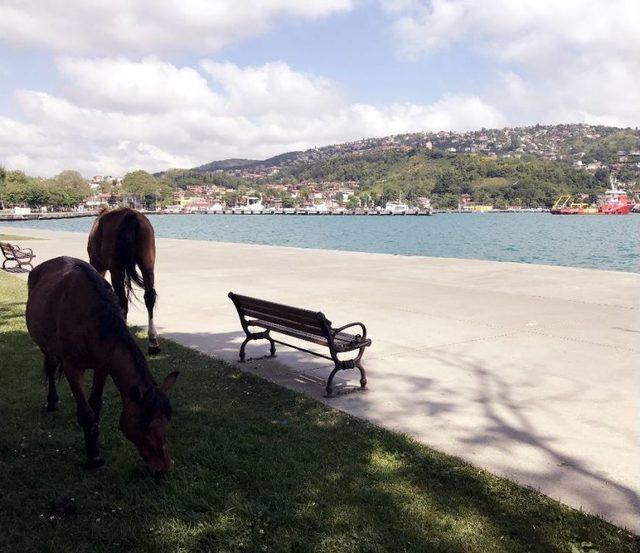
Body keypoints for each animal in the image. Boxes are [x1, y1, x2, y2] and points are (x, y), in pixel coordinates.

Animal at [26, 256, 179, 472]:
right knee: (50, 365)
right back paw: (52, 401)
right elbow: (85, 413)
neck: (90, 318)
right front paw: (94, 456)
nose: (164, 468)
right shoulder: (72, 368)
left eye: (167, 421)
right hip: (46, 346)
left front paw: (94, 440)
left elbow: (96, 406)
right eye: (144, 426)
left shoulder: (103, 367)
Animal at [87, 207, 160, 354]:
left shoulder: (97, 264)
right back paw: (152, 341)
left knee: (122, 300)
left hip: (116, 269)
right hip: (147, 265)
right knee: (149, 297)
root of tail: (130, 215)